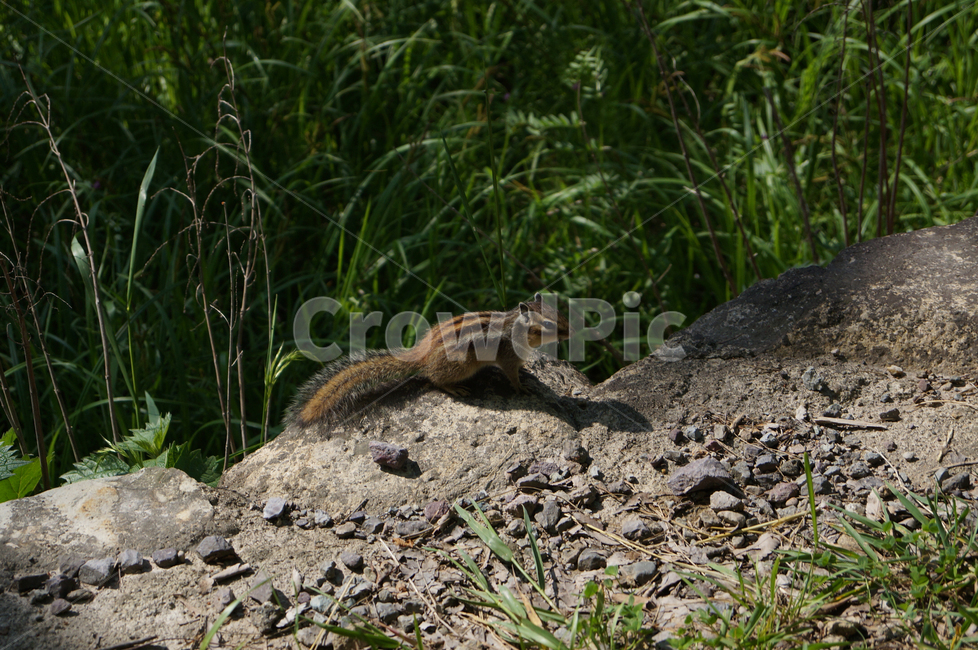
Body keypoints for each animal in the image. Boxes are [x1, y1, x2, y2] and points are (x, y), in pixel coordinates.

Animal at [287, 293, 572, 426]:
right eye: (548, 324)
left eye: (559, 313)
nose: (571, 332)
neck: (515, 329)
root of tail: (422, 355)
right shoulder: (507, 357)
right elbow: (511, 375)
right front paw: (521, 387)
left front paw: (528, 374)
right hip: (460, 366)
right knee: (433, 380)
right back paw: (454, 388)